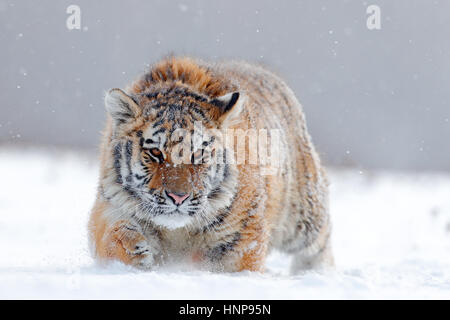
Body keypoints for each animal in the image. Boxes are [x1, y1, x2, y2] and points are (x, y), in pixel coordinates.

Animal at [89, 55, 334, 272]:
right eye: (156, 152)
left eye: (198, 153)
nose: (178, 197)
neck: (176, 231)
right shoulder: (110, 203)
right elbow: (110, 233)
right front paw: (133, 250)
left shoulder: (242, 238)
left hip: (303, 215)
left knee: (321, 241)